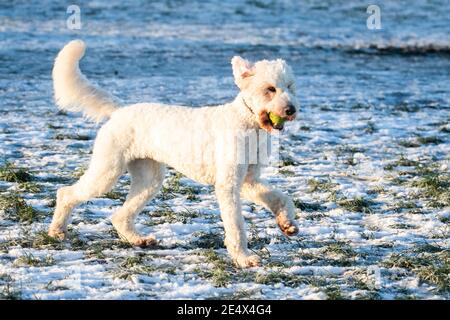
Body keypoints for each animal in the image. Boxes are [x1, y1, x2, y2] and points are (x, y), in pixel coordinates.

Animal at [48, 40, 298, 268]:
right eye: (270, 89)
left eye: (290, 86)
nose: (291, 110)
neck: (248, 123)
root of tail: (120, 111)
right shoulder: (228, 184)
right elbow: (236, 225)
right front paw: (244, 258)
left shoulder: (248, 181)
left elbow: (281, 198)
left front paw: (286, 223)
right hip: (107, 171)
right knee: (66, 193)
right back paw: (57, 230)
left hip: (148, 179)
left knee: (120, 216)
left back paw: (138, 240)